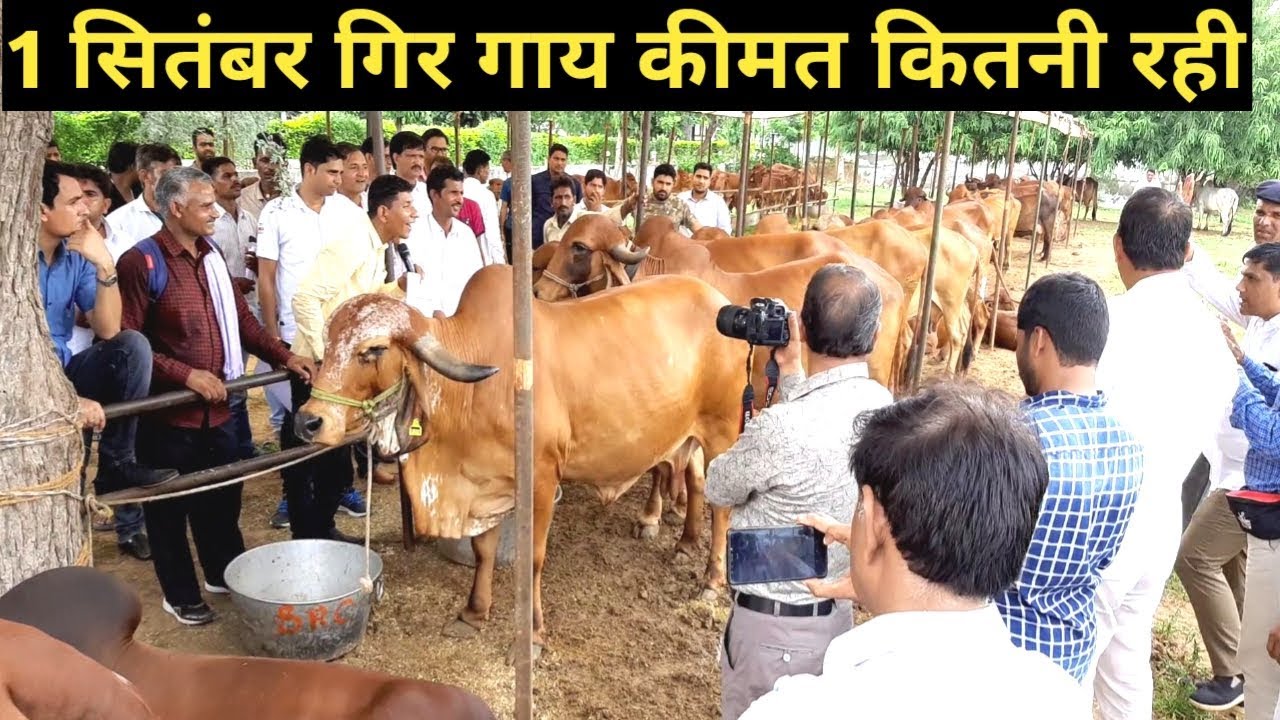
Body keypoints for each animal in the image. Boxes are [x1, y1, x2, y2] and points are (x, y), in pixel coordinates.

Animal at [294, 267, 746, 659]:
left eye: (372, 350)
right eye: (326, 343)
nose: (307, 421)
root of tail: (718, 298)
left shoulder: (542, 479)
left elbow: (534, 558)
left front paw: (532, 637)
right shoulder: (486, 484)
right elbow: (483, 551)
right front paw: (473, 612)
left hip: (723, 432)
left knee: (722, 510)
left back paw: (712, 580)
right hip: (689, 436)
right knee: (694, 480)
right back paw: (683, 542)